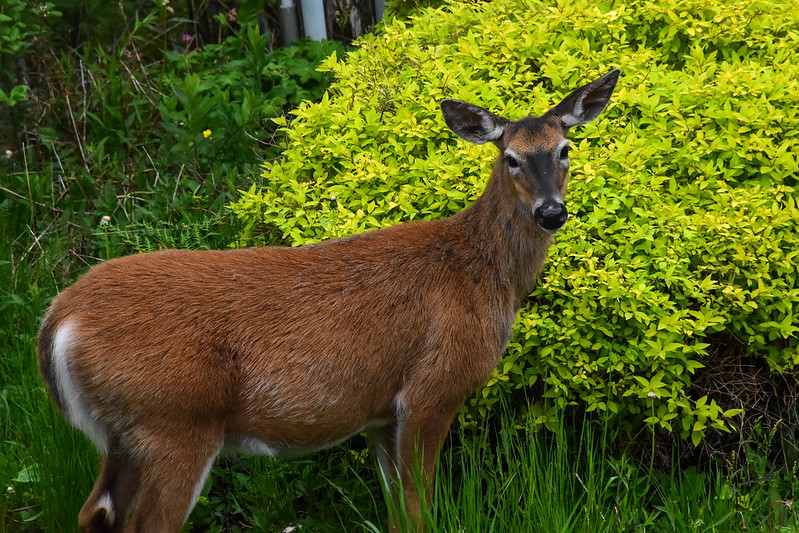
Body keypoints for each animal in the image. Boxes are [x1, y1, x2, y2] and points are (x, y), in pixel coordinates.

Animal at [36, 68, 620, 528]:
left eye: (565, 150)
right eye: (513, 159)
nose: (552, 211)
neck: (484, 273)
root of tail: (58, 320)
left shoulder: (383, 411)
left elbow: (396, 512)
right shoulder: (432, 388)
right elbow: (418, 509)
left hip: (124, 434)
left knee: (94, 512)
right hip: (174, 419)